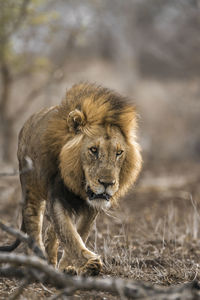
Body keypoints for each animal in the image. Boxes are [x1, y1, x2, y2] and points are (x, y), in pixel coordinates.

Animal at [0, 83, 142, 276]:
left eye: (119, 153)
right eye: (93, 150)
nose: (107, 184)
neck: (79, 183)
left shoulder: (92, 206)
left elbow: (79, 233)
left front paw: (71, 266)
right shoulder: (57, 197)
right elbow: (69, 234)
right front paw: (90, 263)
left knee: (51, 232)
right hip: (31, 189)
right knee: (33, 224)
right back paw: (39, 262)